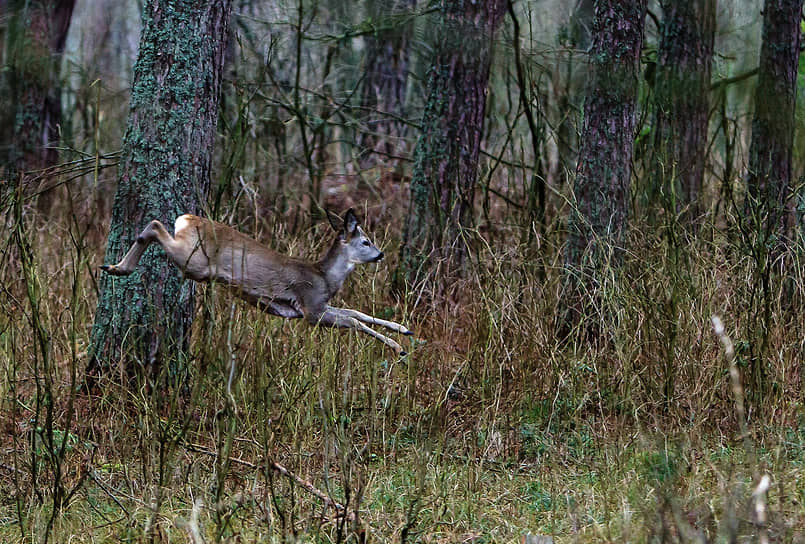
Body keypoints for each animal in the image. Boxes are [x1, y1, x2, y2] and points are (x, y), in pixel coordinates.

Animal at [100, 209, 412, 356]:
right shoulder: (311, 308)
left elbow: (357, 312)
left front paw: (403, 329)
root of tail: (187, 218)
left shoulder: (316, 306)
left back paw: (114, 266)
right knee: (154, 226)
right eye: (366, 241)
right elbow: (355, 320)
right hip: (195, 263)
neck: (325, 277)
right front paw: (398, 348)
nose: (381, 254)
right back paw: (119, 267)